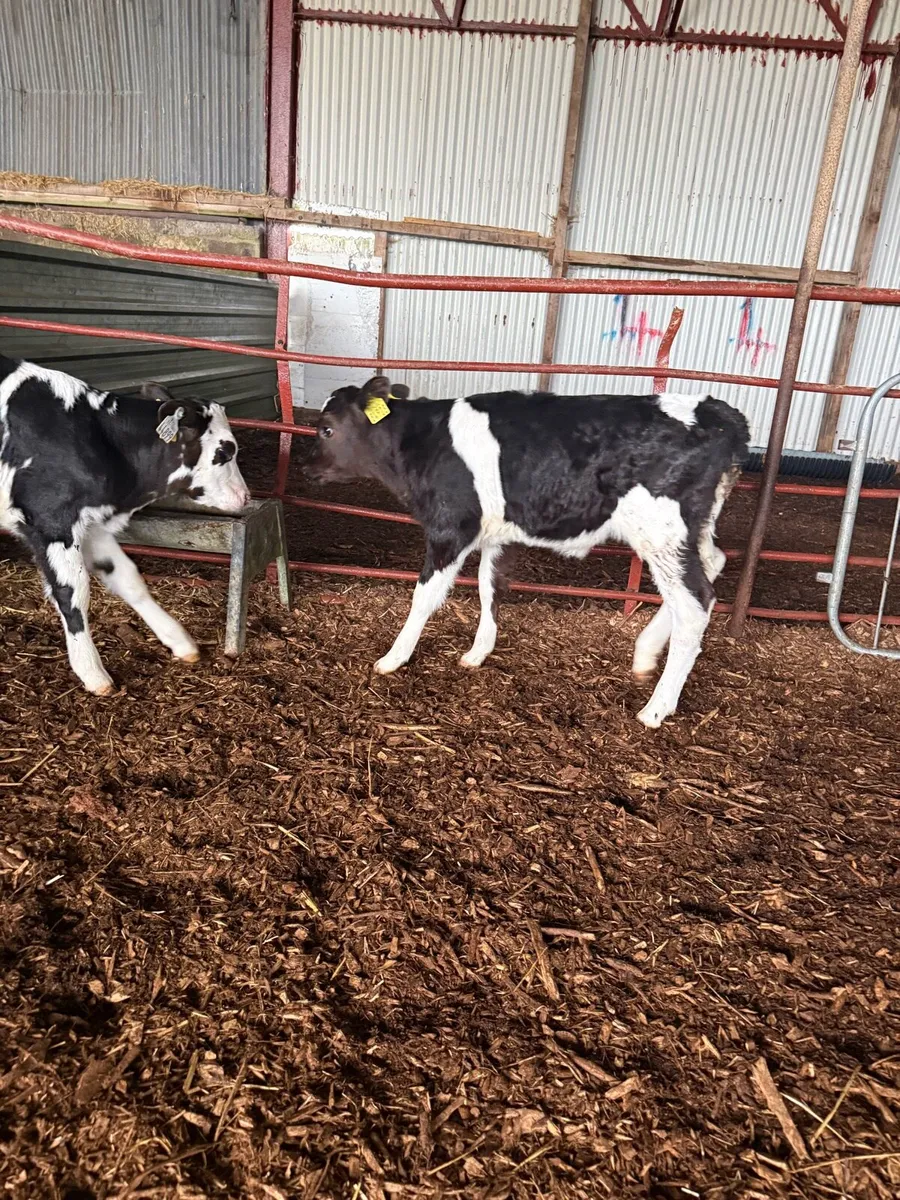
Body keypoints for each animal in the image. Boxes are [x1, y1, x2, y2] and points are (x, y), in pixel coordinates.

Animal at [0, 355, 250, 695]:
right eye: (225, 451)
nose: (246, 496)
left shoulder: (90, 524)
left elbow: (128, 578)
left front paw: (179, 641)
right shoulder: (51, 520)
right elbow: (73, 592)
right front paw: (91, 671)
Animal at [304, 375, 749, 727]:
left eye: (326, 429)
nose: (306, 470)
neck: (423, 443)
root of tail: (719, 413)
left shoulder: (451, 527)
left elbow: (425, 596)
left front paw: (393, 658)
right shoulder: (498, 534)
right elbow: (490, 587)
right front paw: (478, 652)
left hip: (661, 531)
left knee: (693, 604)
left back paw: (656, 708)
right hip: (690, 530)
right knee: (712, 565)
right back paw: (645, 654)